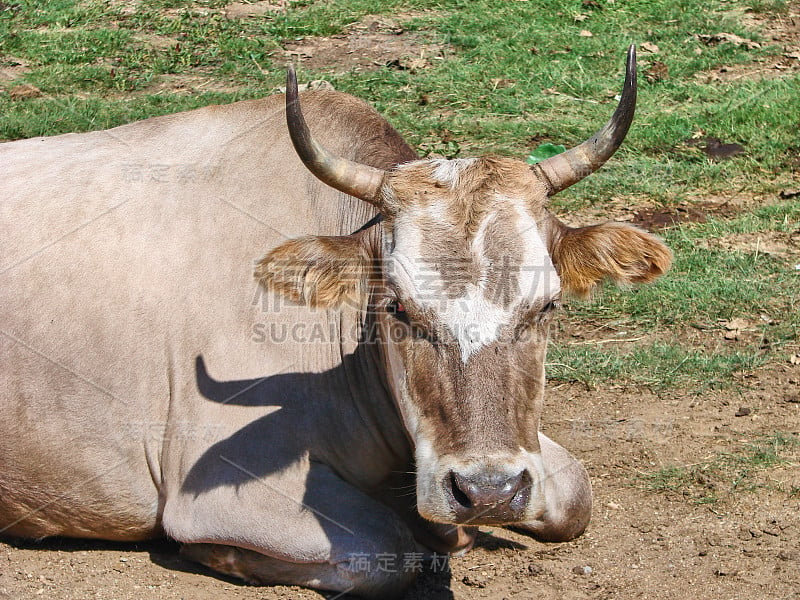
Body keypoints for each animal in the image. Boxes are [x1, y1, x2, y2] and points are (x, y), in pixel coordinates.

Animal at [1, 44, 668, 596]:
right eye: (396, 306)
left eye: (548, 304)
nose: (488, 492)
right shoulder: (223, 492)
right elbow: (392, 550)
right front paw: (224, 557)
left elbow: (575, 493)